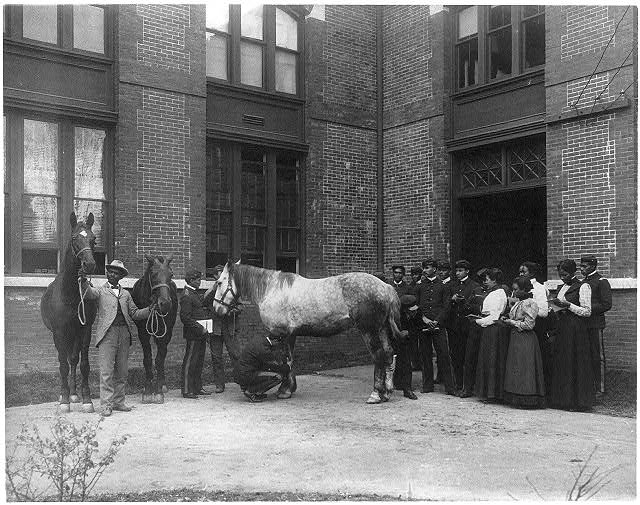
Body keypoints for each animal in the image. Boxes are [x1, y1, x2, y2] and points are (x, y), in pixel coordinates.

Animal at [41, 211, 97, 412]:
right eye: (74, 238)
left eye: (93, 239)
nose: (89, 264)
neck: (72, 294)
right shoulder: (59, 332)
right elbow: (62, 365)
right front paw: (64, 400)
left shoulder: (85, 329)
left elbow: (84, 364)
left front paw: (86, 399)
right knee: (64, 360)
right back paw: (65, 394)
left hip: (74, 334)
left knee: (73, 359)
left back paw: (74, 394)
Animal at [132, 254, 178, 404]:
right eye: (153, 274)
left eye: (171, 274)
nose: (165, 303)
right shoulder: (142, 332)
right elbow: (147, 359)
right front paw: (147, 390)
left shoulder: (164, 331)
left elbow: (159, 359)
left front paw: (158, 391)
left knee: (163, 354)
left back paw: (162, 384)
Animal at [212, 262, 408, 404]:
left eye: (220, 282)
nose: (216, 309)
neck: (272, 289)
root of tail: (385, 287)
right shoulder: (290, 335)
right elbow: (289, 360)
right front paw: (288, 389)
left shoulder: (281, 334)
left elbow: (285, 360)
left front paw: (284, 391)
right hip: (382, 329)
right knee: (389, 354)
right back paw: (387, 392)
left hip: (369, 330)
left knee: (378, 356)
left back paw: (376, 394)